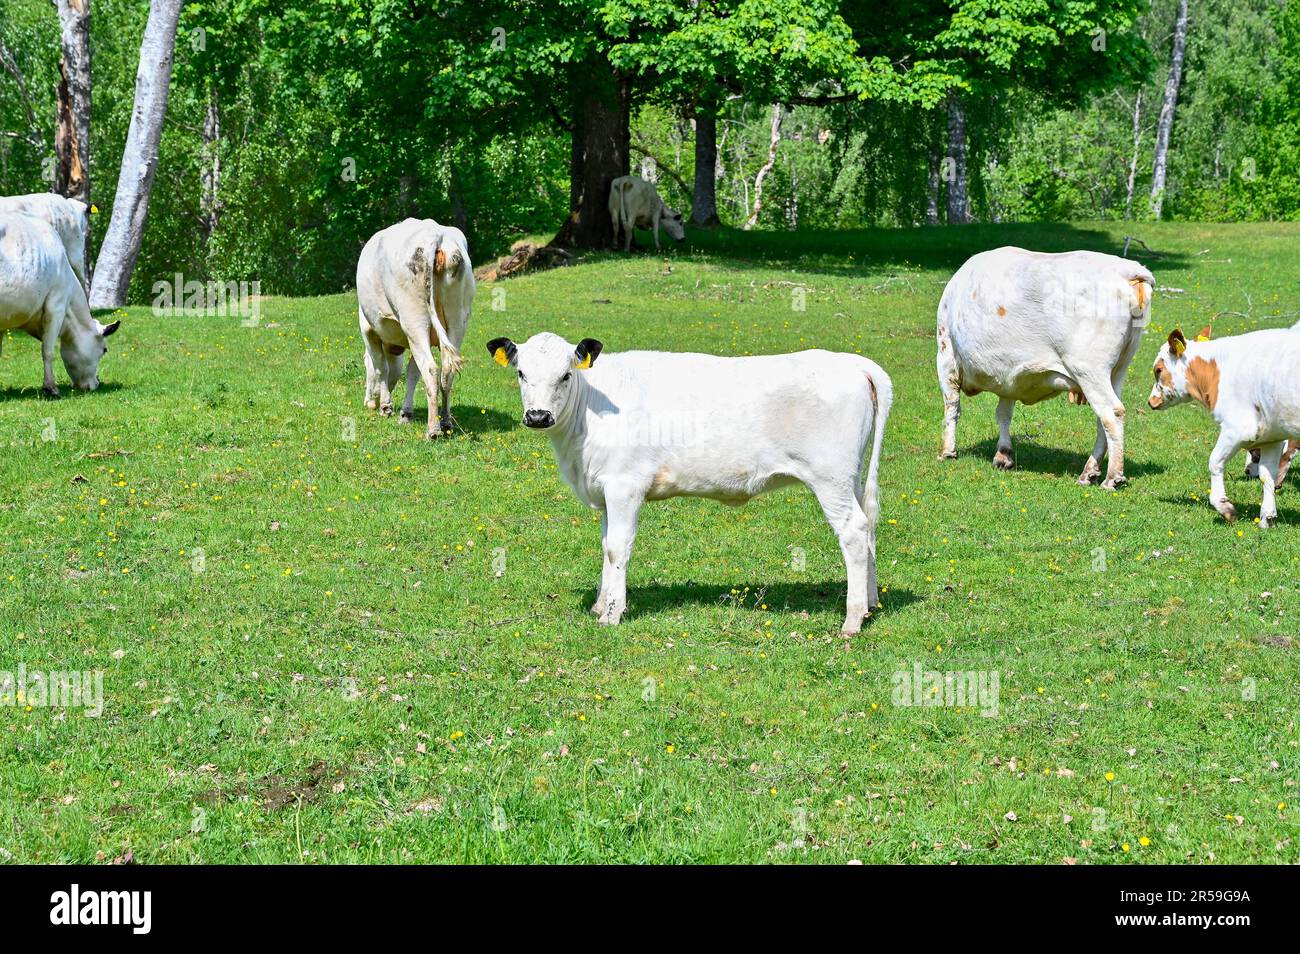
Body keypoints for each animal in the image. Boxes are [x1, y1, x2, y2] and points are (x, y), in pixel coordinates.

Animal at [356, 219, 474, 438]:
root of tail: (435, 234)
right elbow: (411, 372)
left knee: (430, 368)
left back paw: (433, 430)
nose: (368, 403)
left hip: (414, 322)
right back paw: (446, 422)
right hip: (457, 321)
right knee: (446, 371)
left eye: (364, 364)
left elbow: (381, 368)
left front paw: (385, 407)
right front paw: (405, 413)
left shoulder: (369, 330)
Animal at [484, 333, 892, 635]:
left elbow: (617, 548)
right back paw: (870, 604)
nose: (538, 416)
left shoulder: (624, 486)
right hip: (851, 478)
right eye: (521, 373)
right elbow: (604, 547)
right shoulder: (604, 490)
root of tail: (855, 363)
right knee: (869, 526)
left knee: (854, 532)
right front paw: (600, 604)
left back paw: (852, 619)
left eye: (566, 375)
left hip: (830, 478)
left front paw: (612, 614)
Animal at [937, 247, 1153, 489]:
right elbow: (1003, 413)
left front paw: (947, 451)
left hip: (1089, 369)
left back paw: (1112, 477)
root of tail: (1126, 269)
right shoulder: (1008, 374)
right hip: (1118, 369)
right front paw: (1003, 455)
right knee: (1103, 419)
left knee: (1112, 413)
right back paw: (1089, 472)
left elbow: (952, 407)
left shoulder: (946, 355)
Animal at [1147, 326, 1300, 528]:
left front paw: (1224, 507)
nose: (1151, 401)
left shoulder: (1238, 428)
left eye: (1158, 369)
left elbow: (1214, 461)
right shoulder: (1272, 437)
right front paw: (1267, 518)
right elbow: (1267, 475)